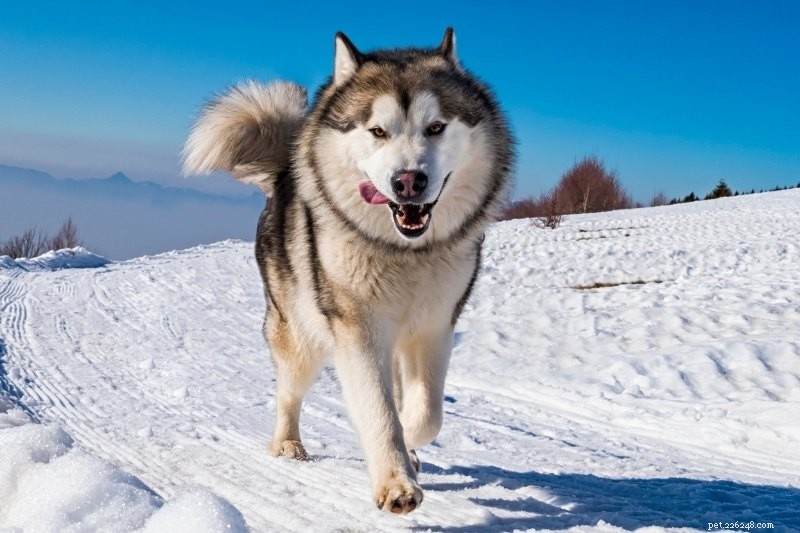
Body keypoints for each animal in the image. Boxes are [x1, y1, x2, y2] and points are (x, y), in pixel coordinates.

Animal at [183, 28, 513, 514]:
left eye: (436, 127)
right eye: (377, 131)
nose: (408, 181)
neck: (403, 253)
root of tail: (283, 174)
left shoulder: (435, 326)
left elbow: (425, 413)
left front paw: (409, 445)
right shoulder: (357, 327)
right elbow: (379, 409)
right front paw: (396, 482)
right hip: (298, 334)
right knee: (288, 392)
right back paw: (287, 445)